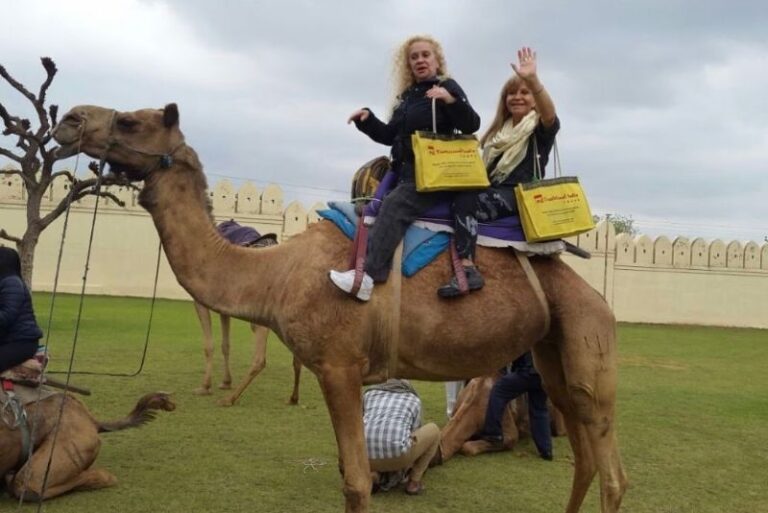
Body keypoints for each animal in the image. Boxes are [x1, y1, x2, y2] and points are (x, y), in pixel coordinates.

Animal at [53, 103, 627, 513]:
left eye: (131, 119)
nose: (69, 119)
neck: (276, 274)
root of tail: (594, 295)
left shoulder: (339, 365)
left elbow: (356, 482)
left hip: (588, 342)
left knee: (612, 473)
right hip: (552, 351)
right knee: (583, 461)